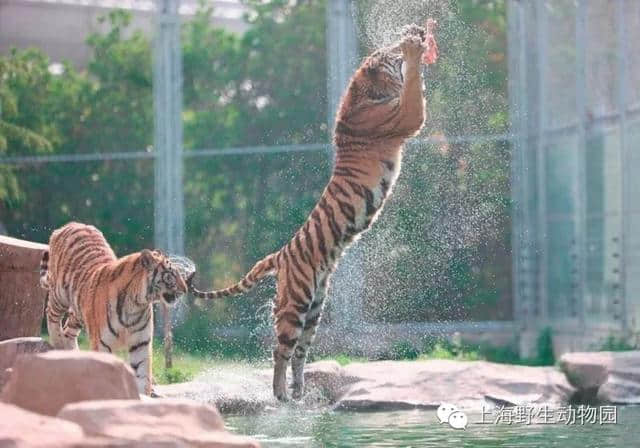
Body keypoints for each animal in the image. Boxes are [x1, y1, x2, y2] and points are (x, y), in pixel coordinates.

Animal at [41, 221, 188, 396]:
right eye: (170, 275)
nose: (186, 289)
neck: (136, 304)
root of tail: (72, 224)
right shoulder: (102, 345)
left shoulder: (141, 344)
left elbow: (142, 376)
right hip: (59, 293)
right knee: (51, 313)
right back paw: (57, 342)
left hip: (78, 310)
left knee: (68, 330)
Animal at [190, 27, 438, 402]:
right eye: (386, 53)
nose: (410, 35)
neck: (366, 92)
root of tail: (279, 254)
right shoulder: (407, 116)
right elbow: (413, 88)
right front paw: (414, 49)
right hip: (297, 302)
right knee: (281, 350)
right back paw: (280, 396)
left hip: (316, 306)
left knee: (300, 352)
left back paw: (299, 394)